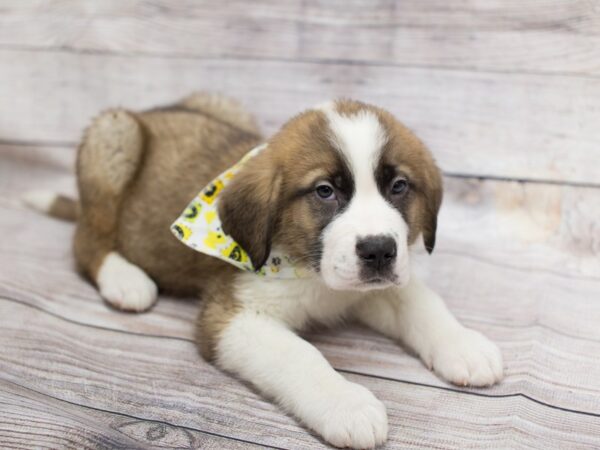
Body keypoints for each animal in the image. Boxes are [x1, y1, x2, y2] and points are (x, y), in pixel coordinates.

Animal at [25, 93, 502, 448]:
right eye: (324, 191)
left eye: (399, 186)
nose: (379, 251)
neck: (312, 273)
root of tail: (147, 112)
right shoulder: (230, 316)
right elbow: (299, 355)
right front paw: (346, 404)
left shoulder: (372, 286)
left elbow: (419, 300)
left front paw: (463, 345)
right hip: (113, 134)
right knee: (86, 241)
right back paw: (124, 280)